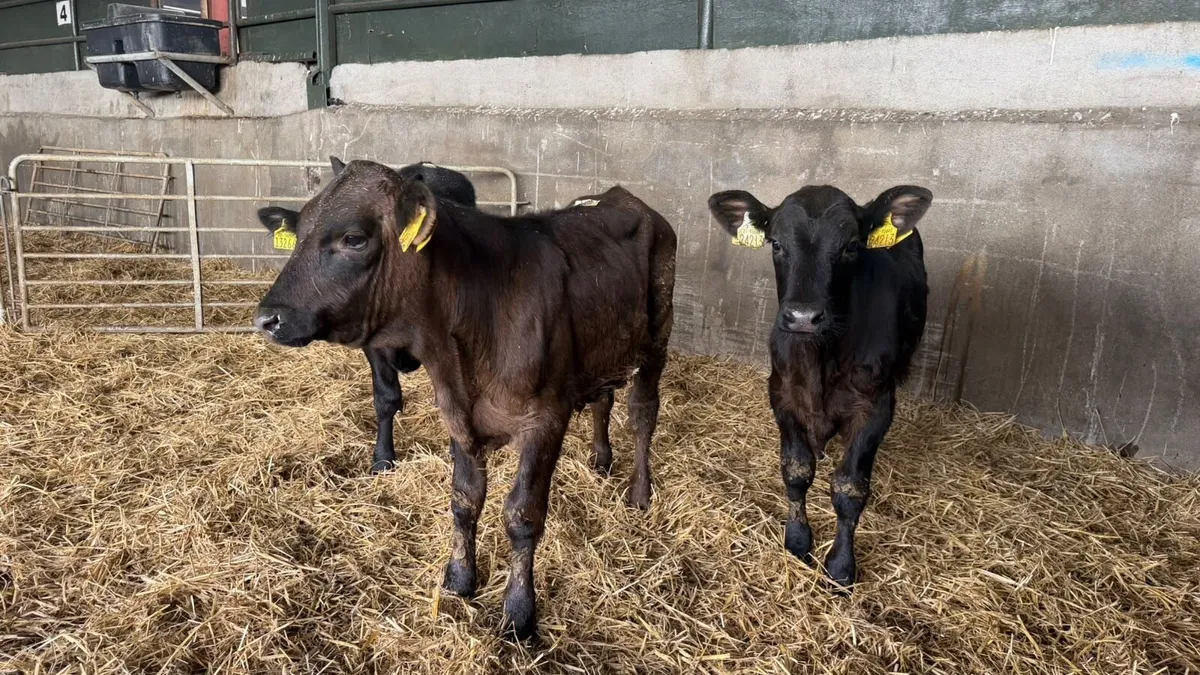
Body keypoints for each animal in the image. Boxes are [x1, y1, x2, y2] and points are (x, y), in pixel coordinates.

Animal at [256, 160, 478, 473]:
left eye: (354, 239)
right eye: (298, 236)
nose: (267, 319)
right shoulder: (373, 342)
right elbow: (386, 398)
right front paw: (383, 458)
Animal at [707, 184, 930, 590]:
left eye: (852, 245)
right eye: (776, 243)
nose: (803, 317)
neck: (821, 359)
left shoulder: (875, 407)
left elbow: (849, 487)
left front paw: (841, 566)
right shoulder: (781, 395)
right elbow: (796, 470)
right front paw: (797, 541)